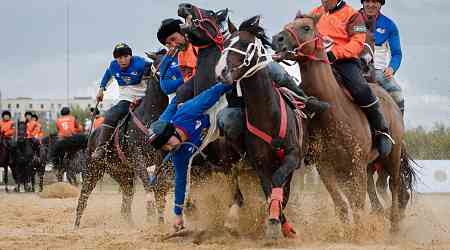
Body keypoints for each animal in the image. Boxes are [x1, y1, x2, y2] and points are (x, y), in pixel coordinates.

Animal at [215, 15, 308, 238]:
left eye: (245, 44)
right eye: (225, 43)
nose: (221, 72)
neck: (268, 115)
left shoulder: (292, 157)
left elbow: (278, 184)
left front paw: (278, 222)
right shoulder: (260, 164)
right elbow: (269, 188)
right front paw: (274, 222)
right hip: (229, 159)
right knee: (235, 188)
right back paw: (232, 218)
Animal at [270, 14, 414, 231]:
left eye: (306, 27)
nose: (276, 39)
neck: (334, 112)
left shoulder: (356, 165)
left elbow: (357, 205)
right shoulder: (326, 167)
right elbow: (342, 205)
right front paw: (347, 232)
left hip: (392, 156)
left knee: (395, 186)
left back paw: (394, 225)